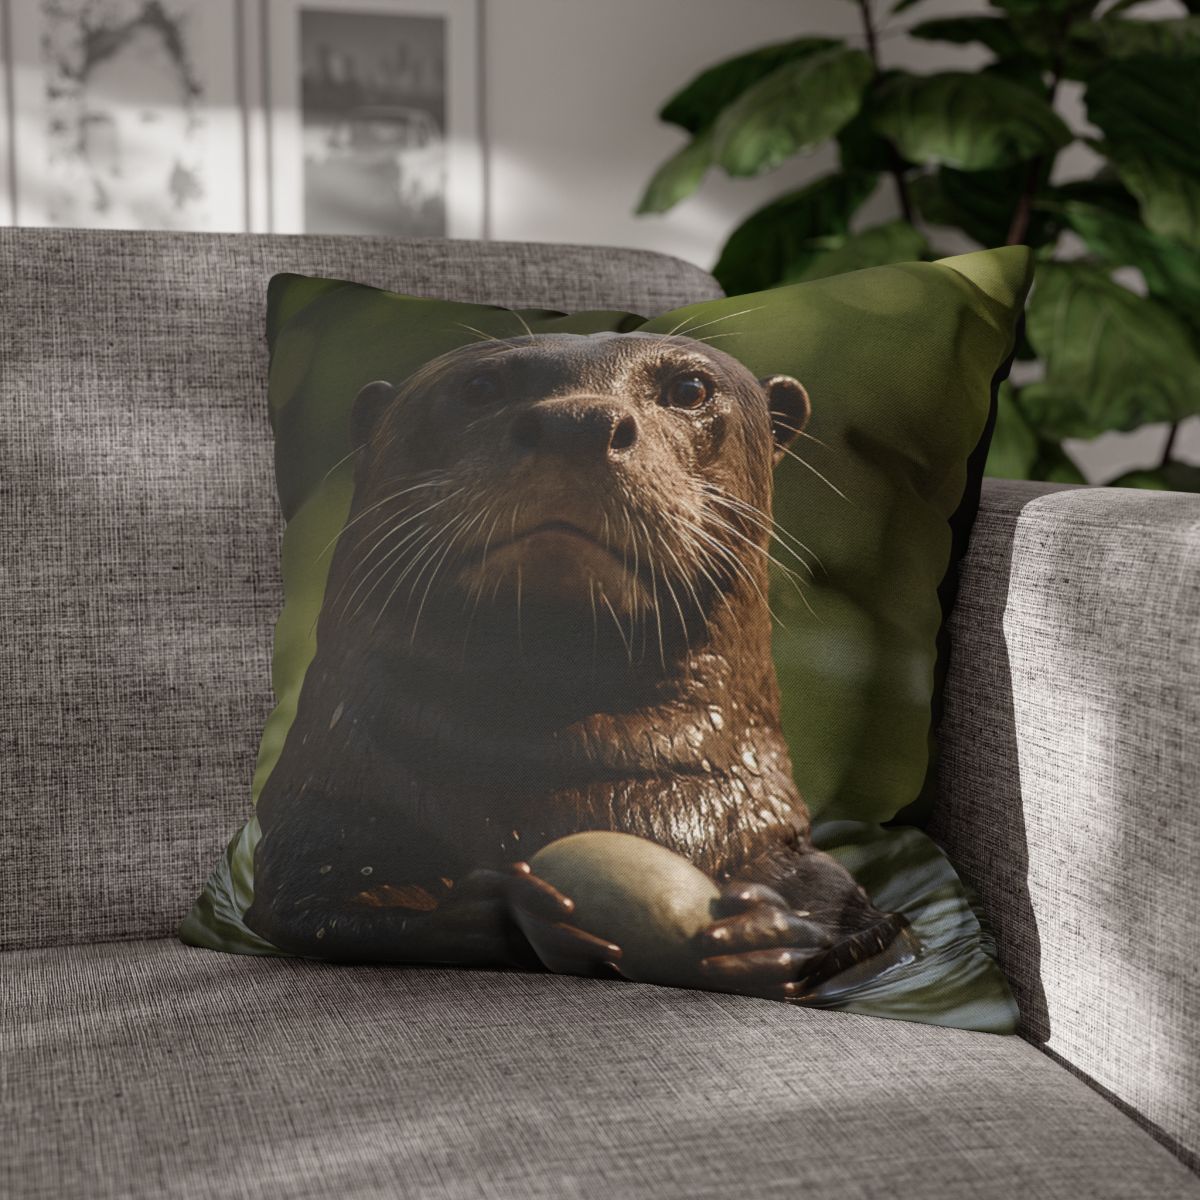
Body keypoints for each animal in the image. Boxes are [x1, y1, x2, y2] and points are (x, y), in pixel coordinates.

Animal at [245, 331, 912, 1000]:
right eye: (480, 387)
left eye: (689, 388)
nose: (579, 422)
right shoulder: (325, 821)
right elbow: (319, 909)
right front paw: (497, 911)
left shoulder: (785, 850)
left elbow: (864, 928)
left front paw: (765, 933)